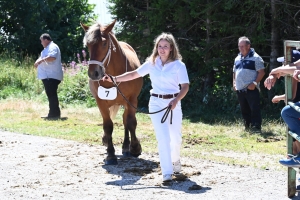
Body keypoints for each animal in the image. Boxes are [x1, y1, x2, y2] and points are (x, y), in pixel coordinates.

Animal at [81, 19, 144, 164]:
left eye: (104, 43)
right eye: (88, 45)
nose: (94, 73)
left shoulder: (132, 100)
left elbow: (131, 122)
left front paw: (135, 147)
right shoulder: (101, 102)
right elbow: (108, 126)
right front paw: (110, 154)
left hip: (125, 103)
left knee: (126, 120)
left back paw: (126, 147)